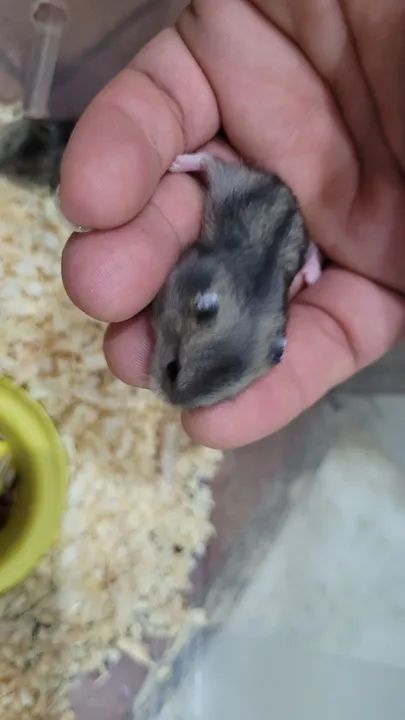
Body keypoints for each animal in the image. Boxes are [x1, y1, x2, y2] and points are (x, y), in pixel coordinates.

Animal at [151, 151, 322, 409]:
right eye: (173, 368)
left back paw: (312, 276)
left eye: (204, 403)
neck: (251, 312)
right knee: (210, 160)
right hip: (230, 183)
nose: (169, 401)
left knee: (313, 249)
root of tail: (287, 191)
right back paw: (176, 164)